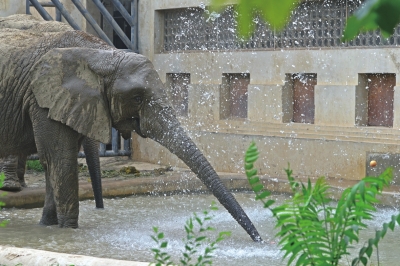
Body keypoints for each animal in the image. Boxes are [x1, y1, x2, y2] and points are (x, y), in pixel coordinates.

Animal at [0, 15, 262, 241]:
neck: (99, 55)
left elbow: (54, 163)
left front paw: (48, 227)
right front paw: (68, 232)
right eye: (137, 98)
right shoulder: (41, 99)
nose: (259, 239)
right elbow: (59, 159)